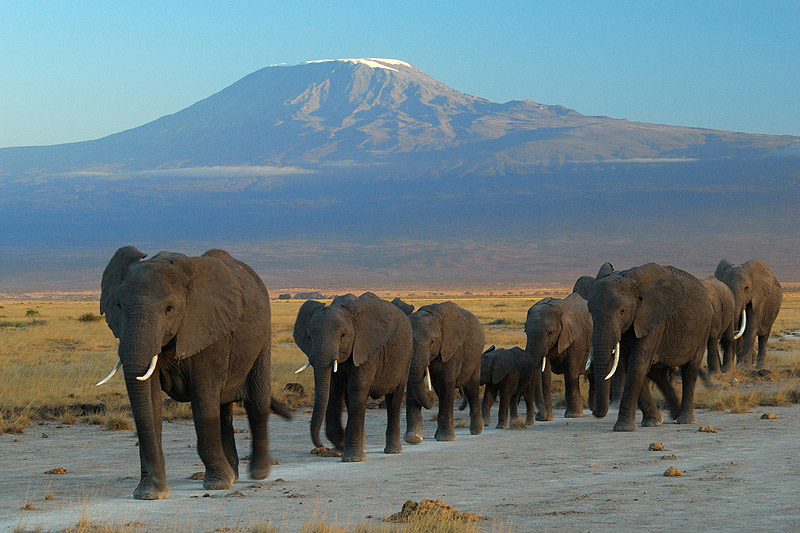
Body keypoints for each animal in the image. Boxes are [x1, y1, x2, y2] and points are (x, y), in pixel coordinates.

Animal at [99, 247, 290, 500]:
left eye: (169, 309)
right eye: (119, 306)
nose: (151, 489)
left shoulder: (209, 327)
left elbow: (203, 399)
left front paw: (217, 484)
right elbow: (150, 402)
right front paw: (150, 493)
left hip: (262, 335)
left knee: (256, 402)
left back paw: (257, 473)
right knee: (223, 409)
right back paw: (234, 474)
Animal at [292, 292, 413, 462]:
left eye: (343, 335)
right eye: (309, 337)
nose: (320, 445)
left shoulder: (366, 348)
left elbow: (357, 389)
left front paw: (352, 458)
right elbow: (333, 390)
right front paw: (338, 451)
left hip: (406, 357)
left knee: (394, 399)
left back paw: (393, 450)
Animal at [403, 301, 484, 443]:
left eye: (432, 342)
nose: (430, 402)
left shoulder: (453, 348)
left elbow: (447, 383)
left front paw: (446, 439)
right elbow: (412, 385)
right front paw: (413, 438)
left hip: (476, 359)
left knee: (471, 389)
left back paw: (476, 431)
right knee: (440, 391)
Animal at [587, 262, 712, 431]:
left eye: (622, 311)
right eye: (590, 312)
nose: (594, 412)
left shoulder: (653, 319)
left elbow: (637, 364)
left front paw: (624, 428)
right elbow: (631, 364)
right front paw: (652, 422)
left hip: (703, 327)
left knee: (690, 369)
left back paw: (685, 420)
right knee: (657, 373)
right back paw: (672, 415)